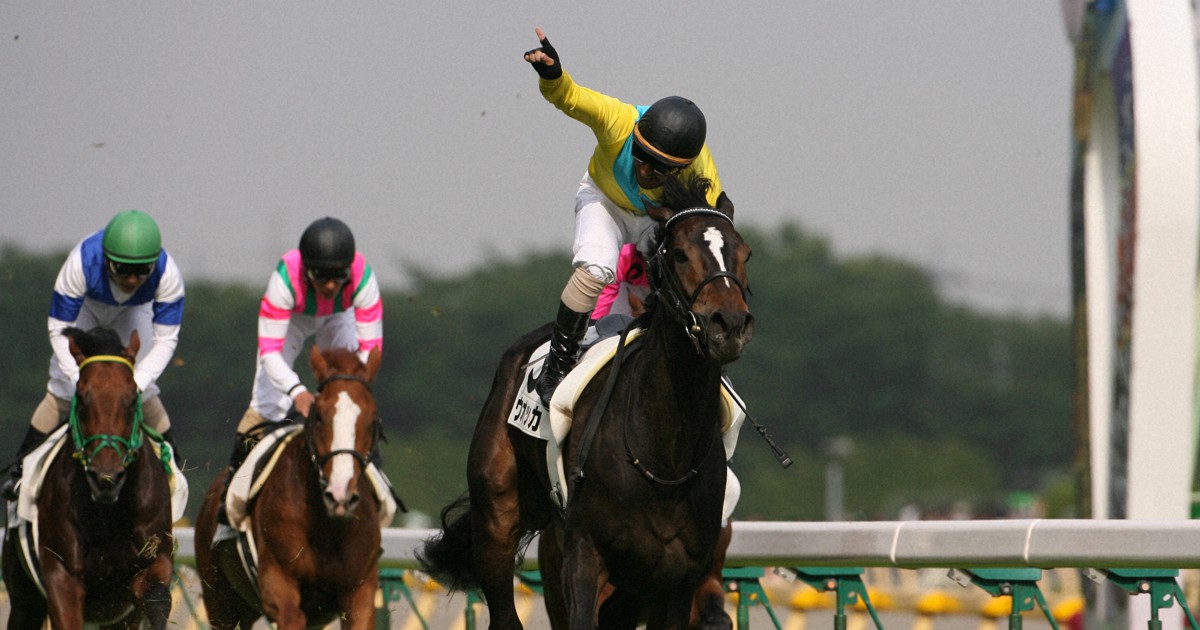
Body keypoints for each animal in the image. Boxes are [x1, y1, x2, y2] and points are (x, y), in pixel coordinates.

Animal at [1, 327, 176, 630]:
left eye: (132, 398)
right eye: (82, 398)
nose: (106, 477)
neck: (108, 514)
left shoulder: (150, 567)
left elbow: (156, 600)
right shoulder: (62, 578)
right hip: (24, 598)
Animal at [194, 346, 385, 630]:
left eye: (371, 418)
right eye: (319, 416)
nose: (339, 495)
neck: (326, 527)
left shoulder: (359, 594)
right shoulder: (279, 588)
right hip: (219, 600)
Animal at [419, 173, 754, 630]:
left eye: (745, 253)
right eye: (681, 254)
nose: (729, 324)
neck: (664, 451)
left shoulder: (680, 577)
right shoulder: (584, 553)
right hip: (499, 517)